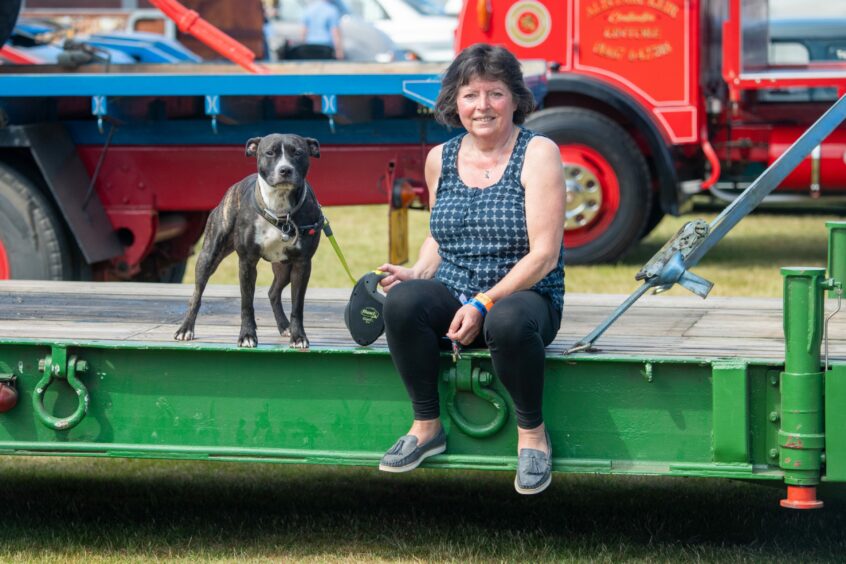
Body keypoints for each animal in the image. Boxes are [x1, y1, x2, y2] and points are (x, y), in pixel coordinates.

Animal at [176, 135, 324, 348]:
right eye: (269, 153)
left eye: (298, 152)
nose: (285, 170)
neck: (279, 210)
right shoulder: (246, 262)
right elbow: (246, 303)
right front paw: (247, 335)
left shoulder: (302, 264)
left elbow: (297, 306)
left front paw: (298, 337)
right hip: (208, 256)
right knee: (196, 294)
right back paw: (185, 329)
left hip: (284, 268)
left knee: (273, 292)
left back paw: (284, 326)